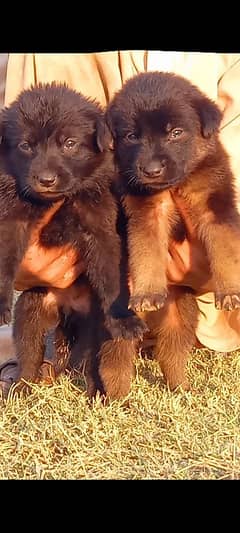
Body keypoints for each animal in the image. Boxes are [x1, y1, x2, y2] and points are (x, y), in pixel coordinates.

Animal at [0, 82, 145, 382]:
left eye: (69, 143)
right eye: (25, 146)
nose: (46, 180)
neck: (61, 200)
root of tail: (67, 308)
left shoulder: (101, 229)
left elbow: (111, 277)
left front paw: (124, 318)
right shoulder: (11, 220)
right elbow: (4, 261)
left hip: (93, 322)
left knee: (86, 360)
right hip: (31, 310)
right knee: (29, 353)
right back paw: (22, 385)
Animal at [92, 70, 240, 392]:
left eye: (176, 133)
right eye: (131, 136)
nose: (151, 171)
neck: (176, 184)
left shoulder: (215, 205)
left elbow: (226, 249)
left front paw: (231, 291)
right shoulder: (146, 212)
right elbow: (146, 252)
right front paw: (147, 292)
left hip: (179, 317)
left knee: (171, 353)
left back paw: (180, 387)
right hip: (119, 329)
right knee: (114, 363)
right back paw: (117, 398)